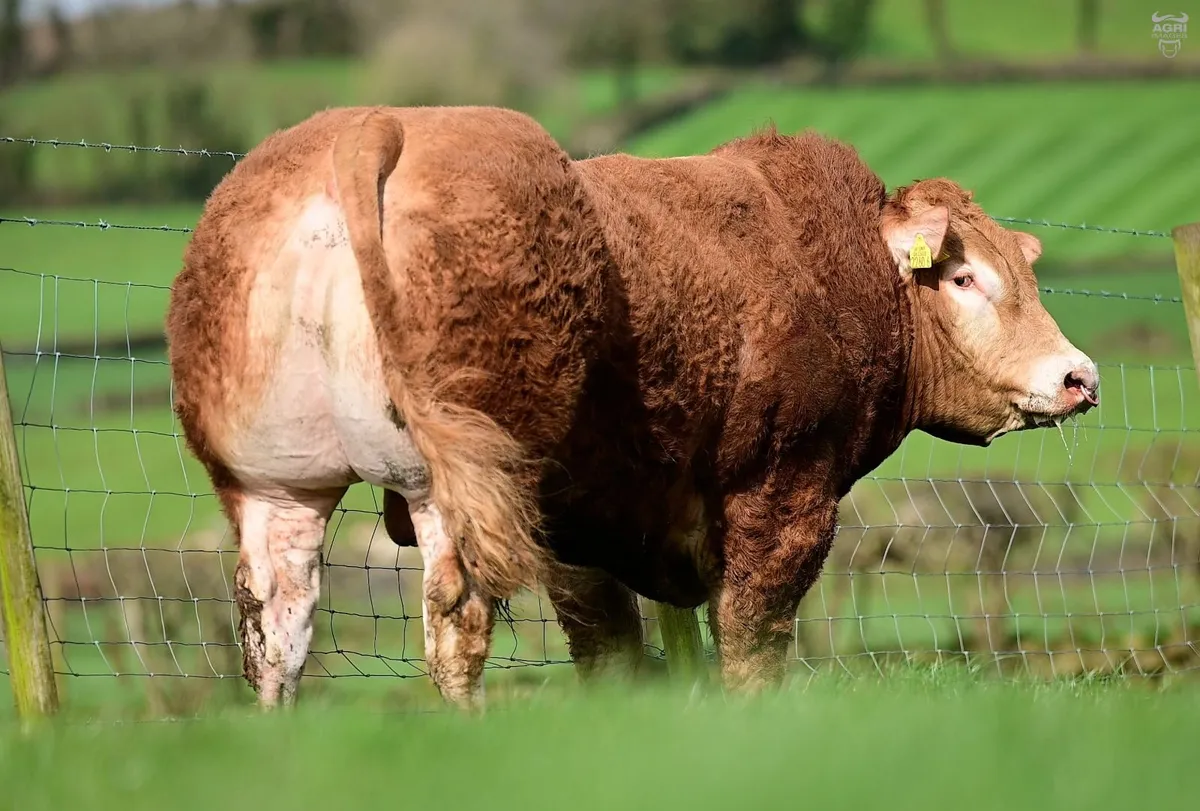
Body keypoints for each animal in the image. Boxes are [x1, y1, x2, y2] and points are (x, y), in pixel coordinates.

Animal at [165, 105, 1099, 710]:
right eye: (964, 276)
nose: (1078, 375)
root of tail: (372, 126)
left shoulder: (596, 524)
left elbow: (629, 646)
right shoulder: (782, 493)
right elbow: (750, 638)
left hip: (275, 486)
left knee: (274, 633)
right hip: (452, 482)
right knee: (455, 624)